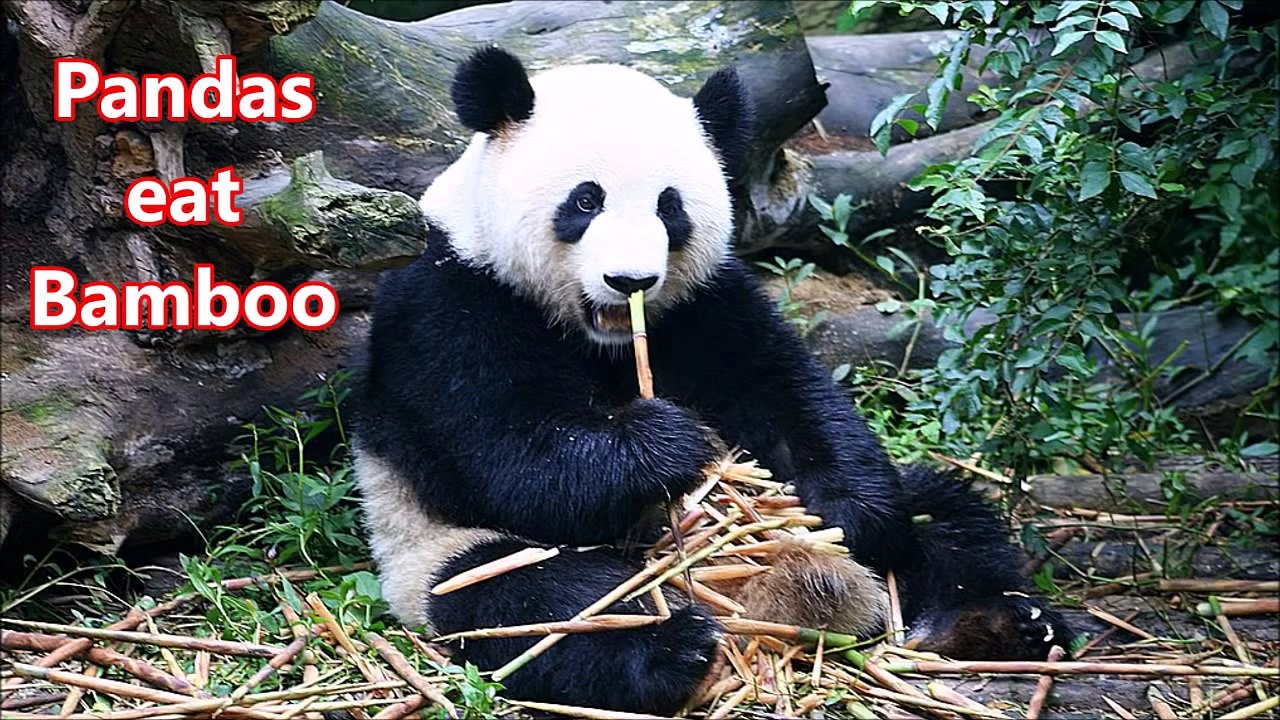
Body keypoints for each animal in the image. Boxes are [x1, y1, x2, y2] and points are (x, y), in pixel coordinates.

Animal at [352, 47, 1074, 714]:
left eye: (669, 207)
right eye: (586, 200)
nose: (631, 281)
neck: (603, 339)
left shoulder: (704, 303)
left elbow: (782, 391)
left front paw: (846, 513)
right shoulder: (449, 304)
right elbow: (506, 451)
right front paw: (665, 445)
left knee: (947, 519)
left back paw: (1003, 622)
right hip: (433, 554)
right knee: (535, 602)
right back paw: (671, 647)